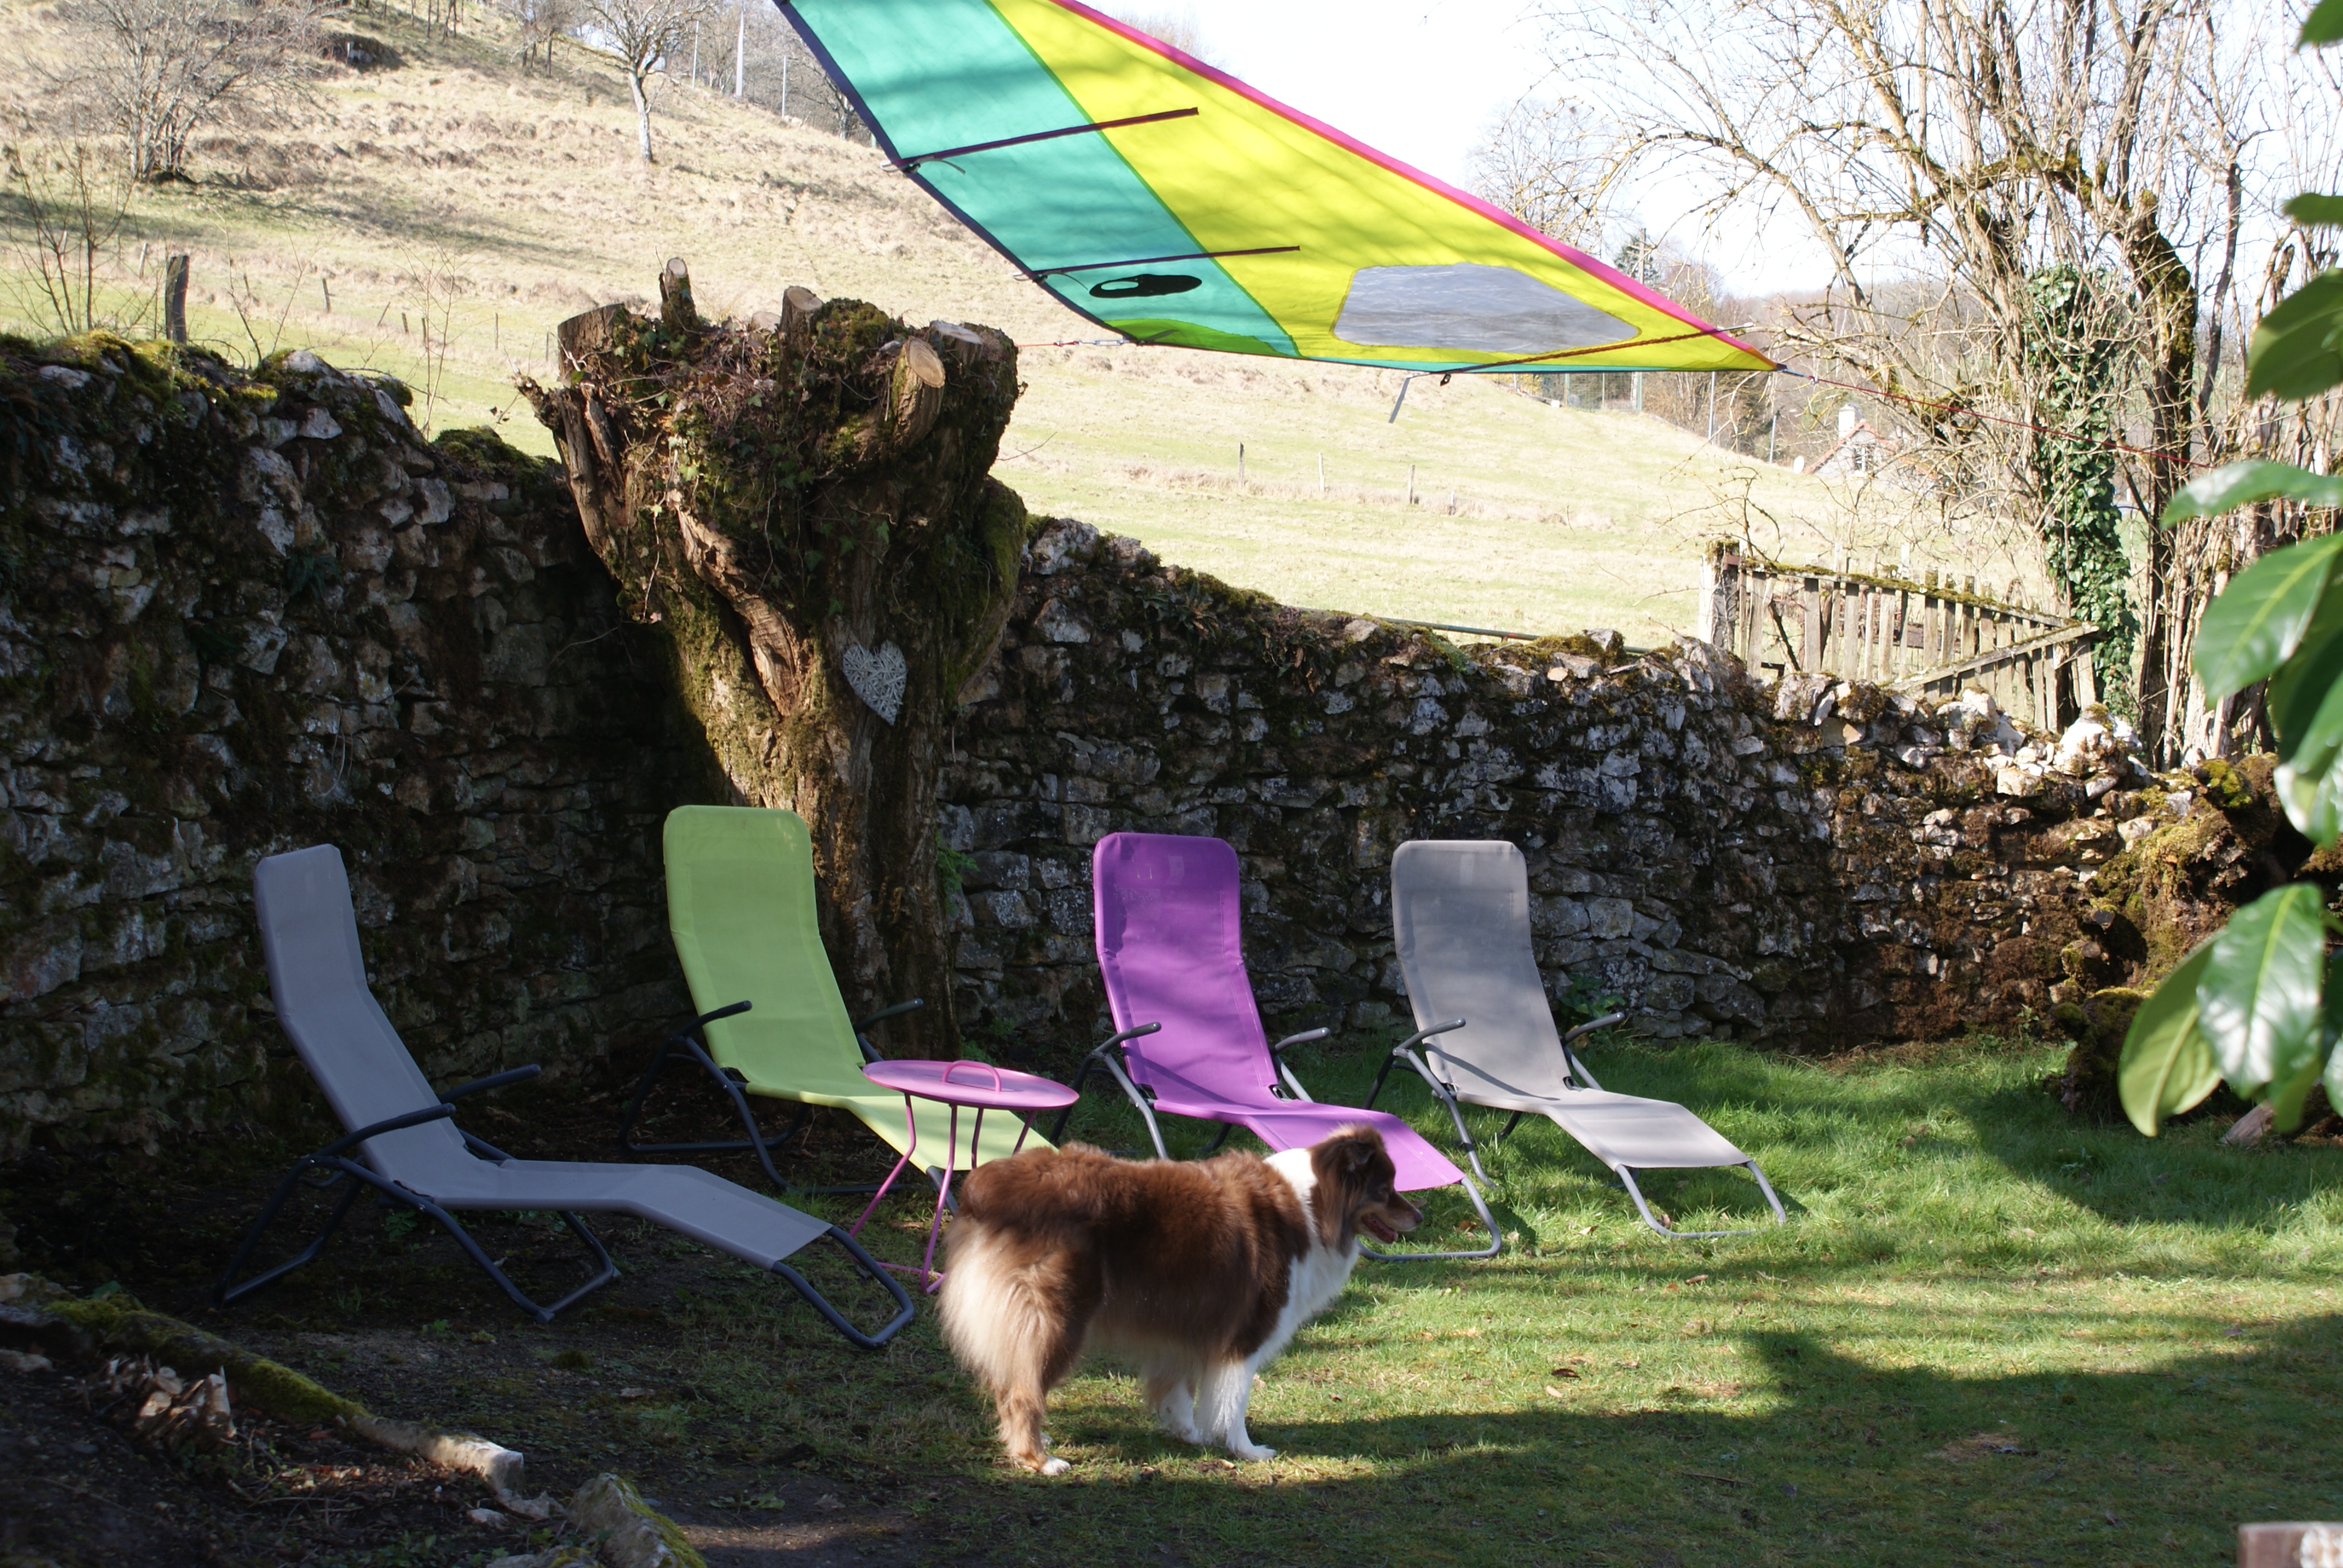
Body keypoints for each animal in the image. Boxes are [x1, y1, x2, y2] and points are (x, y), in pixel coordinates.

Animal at [937, 1125, 1415, 1472]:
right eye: (1385, 1188)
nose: (1421, 1215)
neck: (1314, 1208)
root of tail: (987, 1186)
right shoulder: (1246, 1333)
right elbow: (1233, 1401)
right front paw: (1246, 1450)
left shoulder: (1185, 1324)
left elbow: (1178, 1387)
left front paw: (1187, 1432)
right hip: (1057, 1319)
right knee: (1022, 1392)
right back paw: (1038, 1459)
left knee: (1010, 1381)